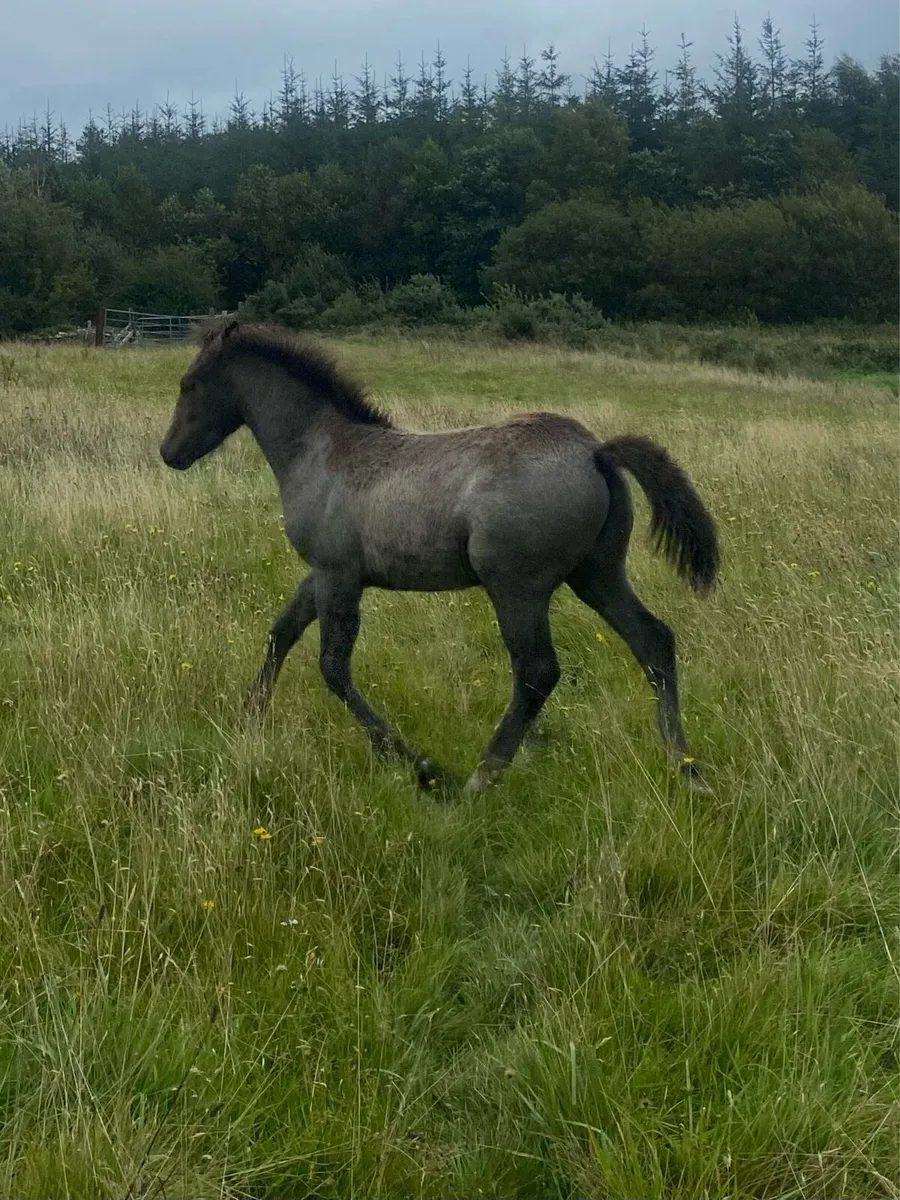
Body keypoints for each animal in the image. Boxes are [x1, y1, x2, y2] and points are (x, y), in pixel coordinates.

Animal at [160, 320, 719, 794]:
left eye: (190, 384)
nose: (169, 453)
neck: (322, 452)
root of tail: (596, 453)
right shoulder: (323, 572)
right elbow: (281, 633)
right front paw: (248, 720)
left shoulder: (337, 574)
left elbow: (333, 668)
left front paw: (421, 766)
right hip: (597, 575)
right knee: (653, 641)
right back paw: (686, 768)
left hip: (517, 587)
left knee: (537, 671)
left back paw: (480, 779)